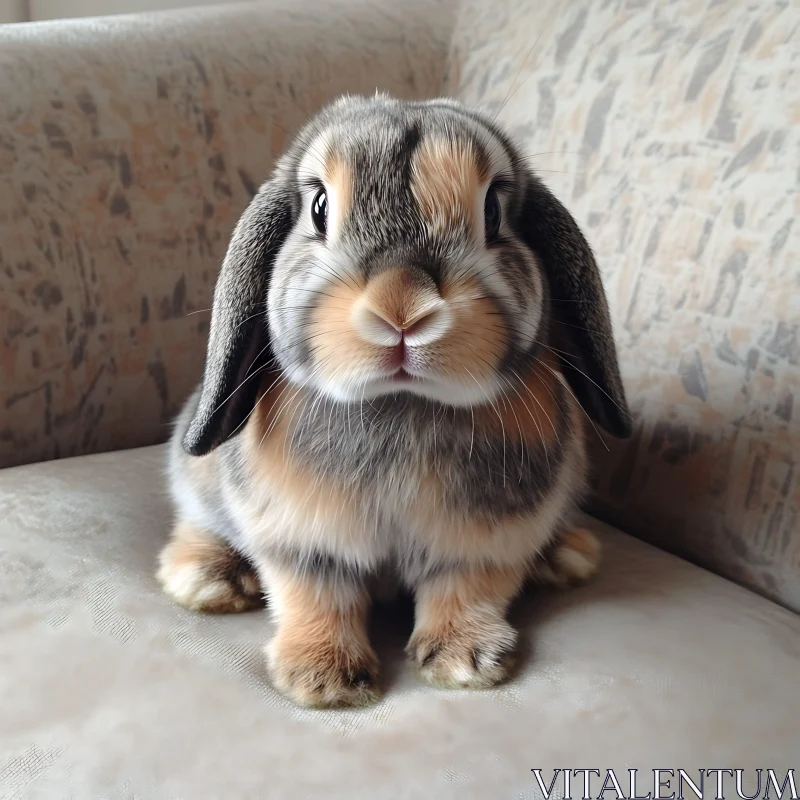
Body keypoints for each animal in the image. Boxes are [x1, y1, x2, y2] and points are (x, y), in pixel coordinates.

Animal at [156, 92, 632, 708]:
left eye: (493, 212)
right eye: (319, 207)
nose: (402, 308)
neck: (403, 402)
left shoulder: (486, 543)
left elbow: (467, 590)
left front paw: (464, 661)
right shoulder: (302, 543)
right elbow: (314, 597)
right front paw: (323, 678)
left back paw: (567, 555)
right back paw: (204, 578)